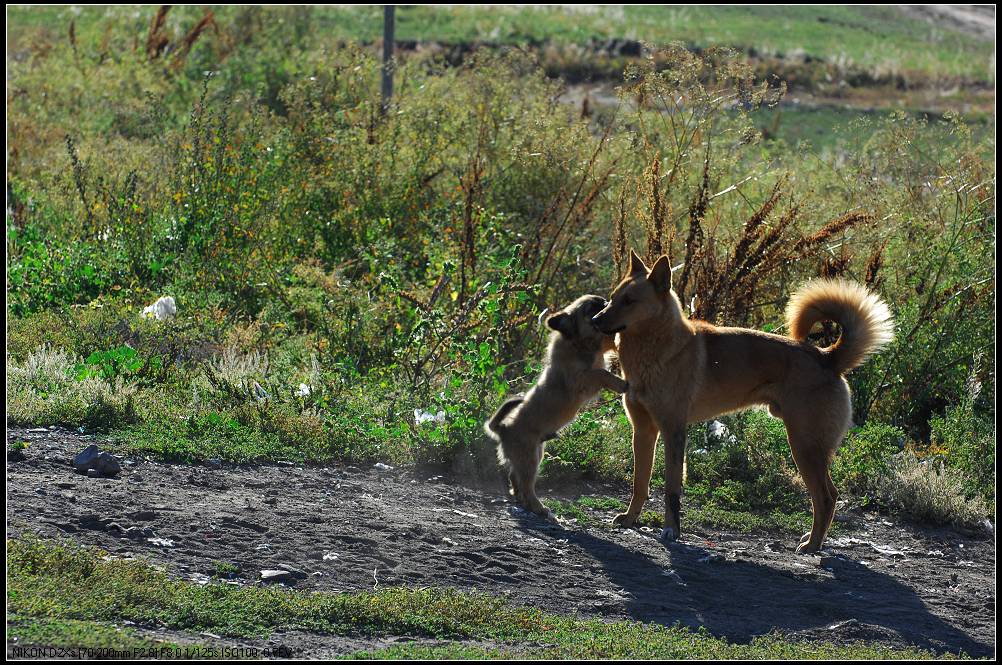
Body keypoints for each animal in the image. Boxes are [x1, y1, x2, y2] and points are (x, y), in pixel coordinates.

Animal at [484, 296, 625, 520]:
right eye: (590, 307)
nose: (605, 302)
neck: (579, 343)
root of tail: (503, 429)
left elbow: (607, 352)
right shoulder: (582, 380)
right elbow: (602, 373)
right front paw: (621, 383)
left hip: (534, 454)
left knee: (515, 478)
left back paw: (521, 499)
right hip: (530, 459)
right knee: (526, 484)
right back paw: (538, 507)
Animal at [589, 249, 897, 548]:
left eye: (629, 301)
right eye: (613, 298)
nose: (594, 321)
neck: (655, 348)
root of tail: (827, 357)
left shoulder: (673, 431)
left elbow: (671, 490)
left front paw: (671, 530)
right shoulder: (643, 431)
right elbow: (639, 483)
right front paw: (630, 518)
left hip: (804, 447)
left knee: (827, 497)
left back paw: (812, 545)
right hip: (807, 448)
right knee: (827, 498)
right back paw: (812, 540)